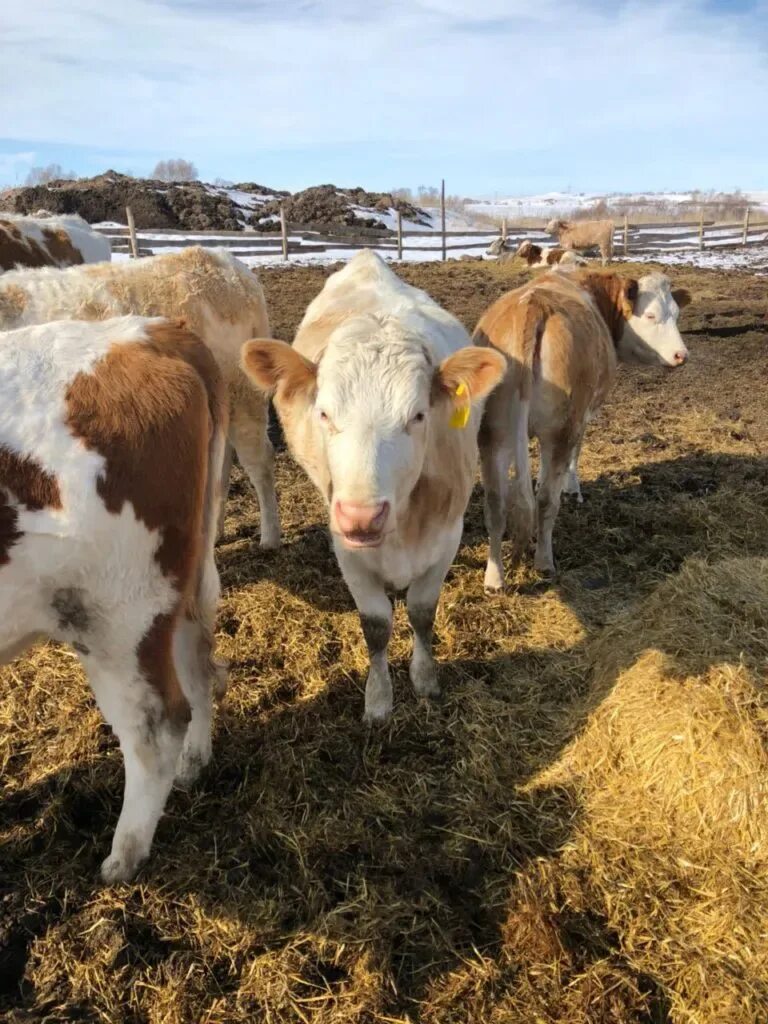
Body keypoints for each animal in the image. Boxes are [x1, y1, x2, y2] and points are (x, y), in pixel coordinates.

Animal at [0, 313, 228, 880]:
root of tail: (152, 333)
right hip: (179, 580)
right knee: (199, 664)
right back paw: (194, 765)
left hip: (118, 615)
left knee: (156, 725)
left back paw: (123, 857)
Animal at [240, 251, 505, 724]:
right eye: (324, 414)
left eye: (418, 415)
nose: (362, 516)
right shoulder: (347, 550)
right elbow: (377, 626)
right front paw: (378, 700)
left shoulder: (447, 536)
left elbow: (422, 612)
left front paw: (425, 679)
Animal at [479, 270, 696, 593]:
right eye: (650, 315)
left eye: (677, 314)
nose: (681, 355)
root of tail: (532, 305)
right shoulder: (582, 417)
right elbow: (573, 458)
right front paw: (573, 489)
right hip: (561, 429)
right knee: (545, 501)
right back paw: (544, 562)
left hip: (493, 435)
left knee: (496, 504)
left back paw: (494, 579)